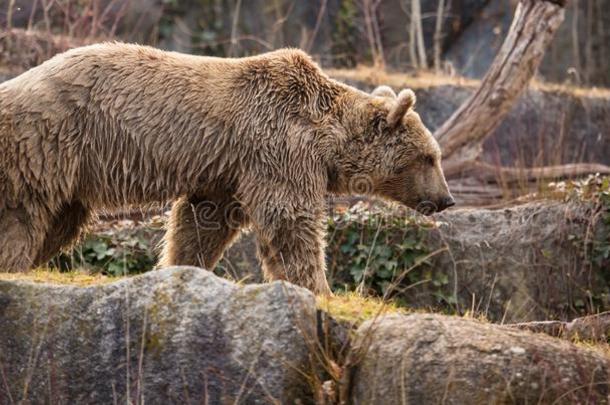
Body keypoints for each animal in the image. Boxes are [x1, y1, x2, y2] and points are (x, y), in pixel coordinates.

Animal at [0, 43, 452, 294]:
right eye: (430, 157)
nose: (446, 199)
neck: (325, 138)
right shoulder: (276, 149)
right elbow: (289, 220)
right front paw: (318, 286)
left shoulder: (224, 171)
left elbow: (203, 223)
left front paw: (179, 266)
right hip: (49, 139)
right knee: (24, 216)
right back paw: (15, 264)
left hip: (73, 169)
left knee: (61, 220)